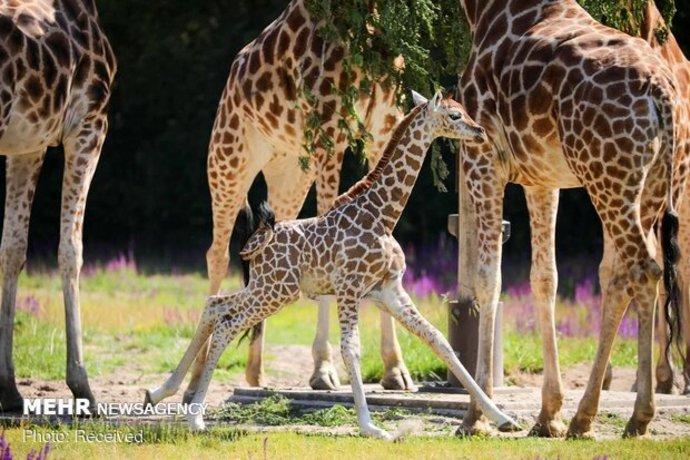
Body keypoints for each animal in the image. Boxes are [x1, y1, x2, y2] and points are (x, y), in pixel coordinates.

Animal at [0, 0, 116, 410]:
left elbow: (12, 249)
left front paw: (10, 390)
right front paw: (83, 386)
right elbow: (71, 249)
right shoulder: (89, 124)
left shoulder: (27, 144)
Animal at [146, 90, 516, 438]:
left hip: (268, 287)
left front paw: (502, 418)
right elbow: (351, 349)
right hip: (276, 291)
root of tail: (257, 241)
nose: (480, 131)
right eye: (455, 115)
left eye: (464, 111)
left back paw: (160, 392)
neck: (382, 215)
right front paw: (370, 427)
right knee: (227, 323)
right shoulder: (349, 288)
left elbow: (439, 341)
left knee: (215, 305)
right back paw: (194, 417)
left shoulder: (388, 290)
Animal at [188, 0, 412, 398]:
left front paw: (395, 369)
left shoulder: (384, 127)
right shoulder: (329, 132)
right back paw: (195, 380)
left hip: (290, 170)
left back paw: (255, 373)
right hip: (228, 158)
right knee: (216, 254)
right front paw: (323, 369)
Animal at [454, 0, 684, 438]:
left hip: (608, 176)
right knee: (627, 274)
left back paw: (638, 414)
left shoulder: (482, 155)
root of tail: (662, 94)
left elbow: (487, 280)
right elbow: (545, 278)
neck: (483, 11)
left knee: (643, 269)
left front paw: (476, 415)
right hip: (650, 186)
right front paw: (548, 414)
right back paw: (586, 417)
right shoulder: (542, 176)